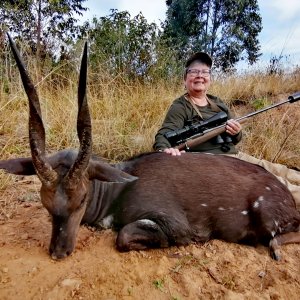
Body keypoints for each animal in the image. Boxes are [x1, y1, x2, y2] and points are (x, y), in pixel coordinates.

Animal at [0, 34, 300, 260]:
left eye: (82, 198)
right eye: (45, 202)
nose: (59, 252)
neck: (118, 190)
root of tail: (285, 195)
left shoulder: (173, 224)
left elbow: (124, 236)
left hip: (267, 217)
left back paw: (274, 249)